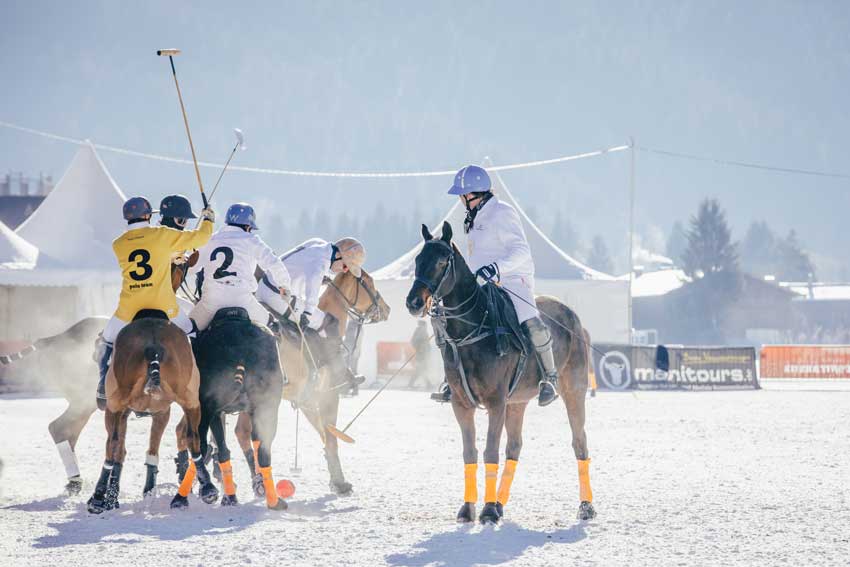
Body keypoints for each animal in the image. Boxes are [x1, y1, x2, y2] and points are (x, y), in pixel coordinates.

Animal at [86, 310, 207, 516]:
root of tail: (153, 344)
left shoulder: (123, 411)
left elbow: (120, 451)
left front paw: (111, 498)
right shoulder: (161, 411)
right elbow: (152, 449)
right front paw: (147, 490)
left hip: (114, 406)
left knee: (112, 443)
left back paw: (97, 498)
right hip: (190, 398)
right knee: (193, 436)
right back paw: (208, 488)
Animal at [406, 222, 596, 524]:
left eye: (441, 261)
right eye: (417, 259)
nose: (413, 302)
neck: (472, 330)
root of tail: (575, 319)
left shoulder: (496, 402)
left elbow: (489, 451)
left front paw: (485, 510)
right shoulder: (461, 404)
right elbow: (469, 453)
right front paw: (470, 509)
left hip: (573, 390)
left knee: (579, 442)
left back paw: (586, 506)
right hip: (517, 401)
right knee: (515, 446)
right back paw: (499, 503)